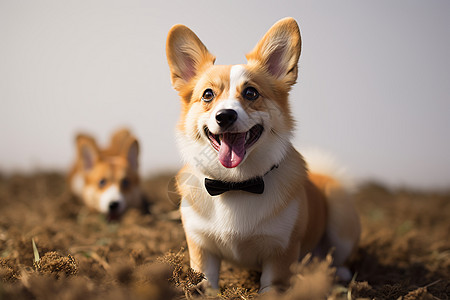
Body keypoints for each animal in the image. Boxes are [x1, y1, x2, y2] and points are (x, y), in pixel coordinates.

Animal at [167, 17, 360, 292]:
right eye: (207, 95)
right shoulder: (201, 246)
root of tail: (323, 176)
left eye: (251, 93)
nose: (225, 116)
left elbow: (271, 287)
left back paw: (338, 275)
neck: (235, 184)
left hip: (340, 213)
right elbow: (206, 280)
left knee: (339, 256)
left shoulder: (281, 251)